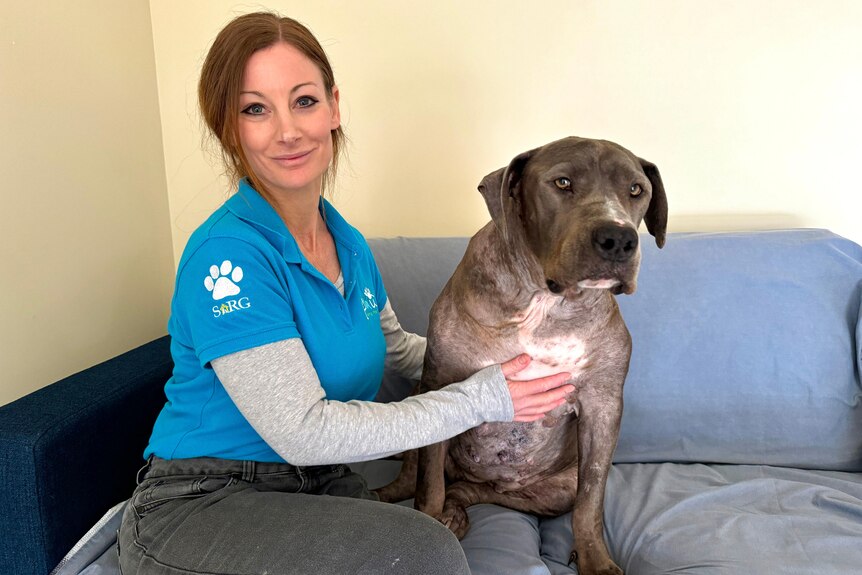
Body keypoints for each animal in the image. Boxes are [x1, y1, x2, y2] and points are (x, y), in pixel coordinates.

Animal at [378, 136, 668, 575]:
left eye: (636, 189)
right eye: (562, 182)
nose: (618, 238)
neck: (544, 303)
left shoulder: (602, 406)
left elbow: (590, 503)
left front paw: (595, 560)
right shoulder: (440, 383)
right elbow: (429, 487)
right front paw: (430, 522)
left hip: (549, 488)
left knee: (474, 491)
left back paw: (458, 511)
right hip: (418, 398)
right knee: (418, 480)